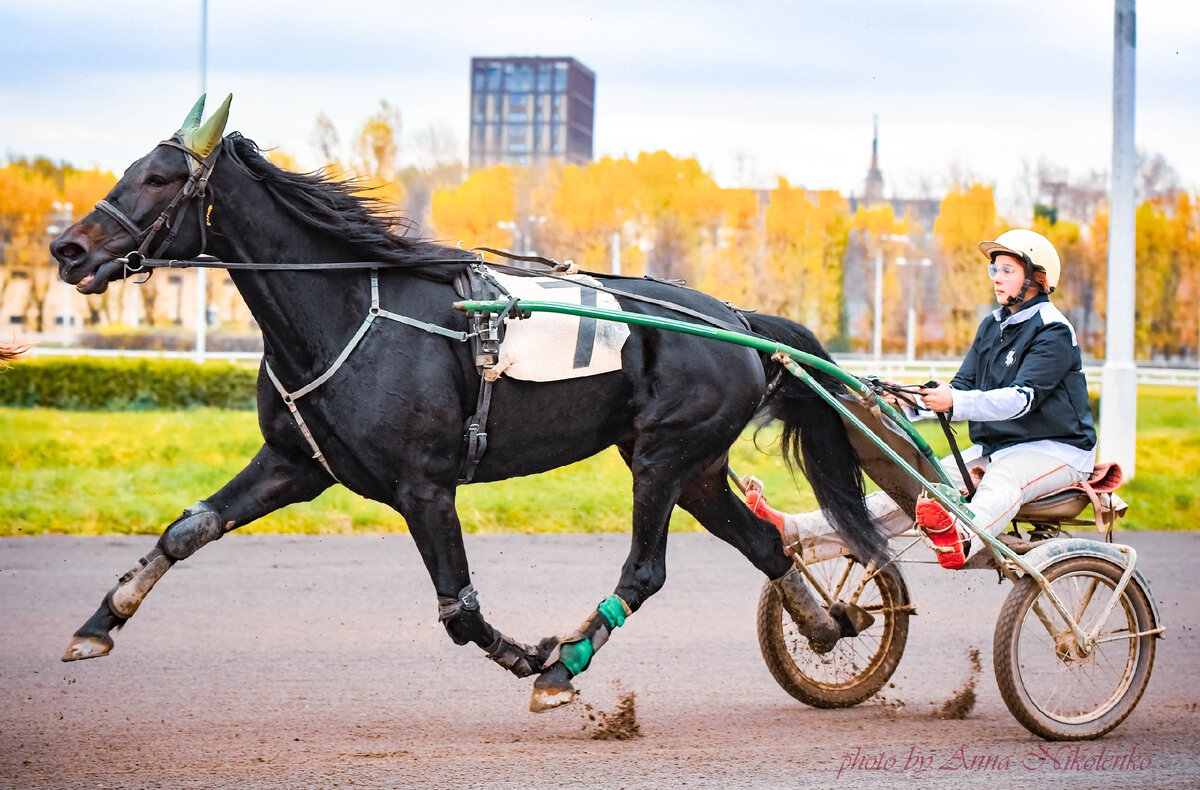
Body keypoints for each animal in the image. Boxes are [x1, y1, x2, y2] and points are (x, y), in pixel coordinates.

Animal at [54, 95, 883, 710]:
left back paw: (568, 663)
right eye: (131, 168)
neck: (346, 310)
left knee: (646, 570)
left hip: (664, 457)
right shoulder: (296, 461)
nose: (68, 248)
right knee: (766, 545)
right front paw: (99, 622)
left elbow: (459, 609)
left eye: (162, 178)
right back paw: (826, 625)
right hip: (698, 468)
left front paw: (531, 655)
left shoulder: (424, 485)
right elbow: (188, 529)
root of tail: (737, 321)